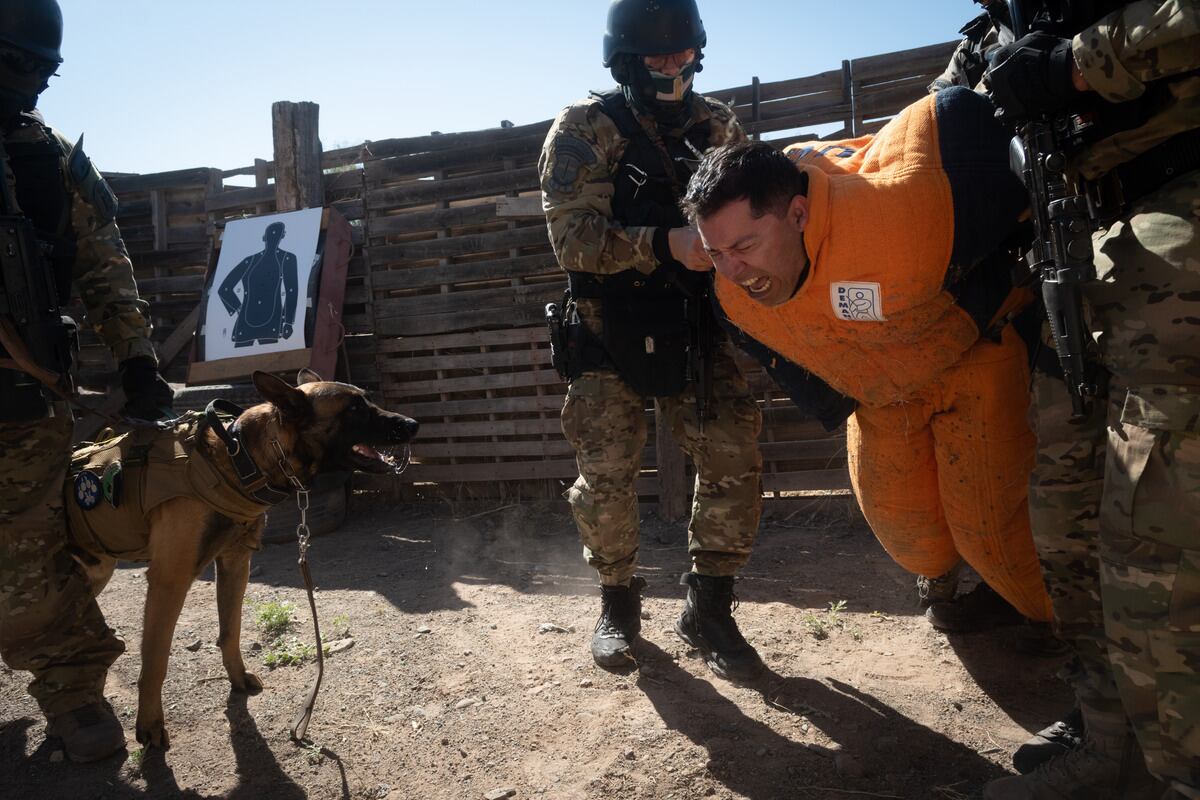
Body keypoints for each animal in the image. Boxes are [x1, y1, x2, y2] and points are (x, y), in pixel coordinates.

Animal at [68, 371, 422, 753]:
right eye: (354, 408)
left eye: (366, 399)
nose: (413, 424)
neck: (239, 459)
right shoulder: (169, 580)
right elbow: (155, 661)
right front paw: (149, 723)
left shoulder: (236, 563)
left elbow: (231, 630)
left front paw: (236, 677)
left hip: (96, 572)